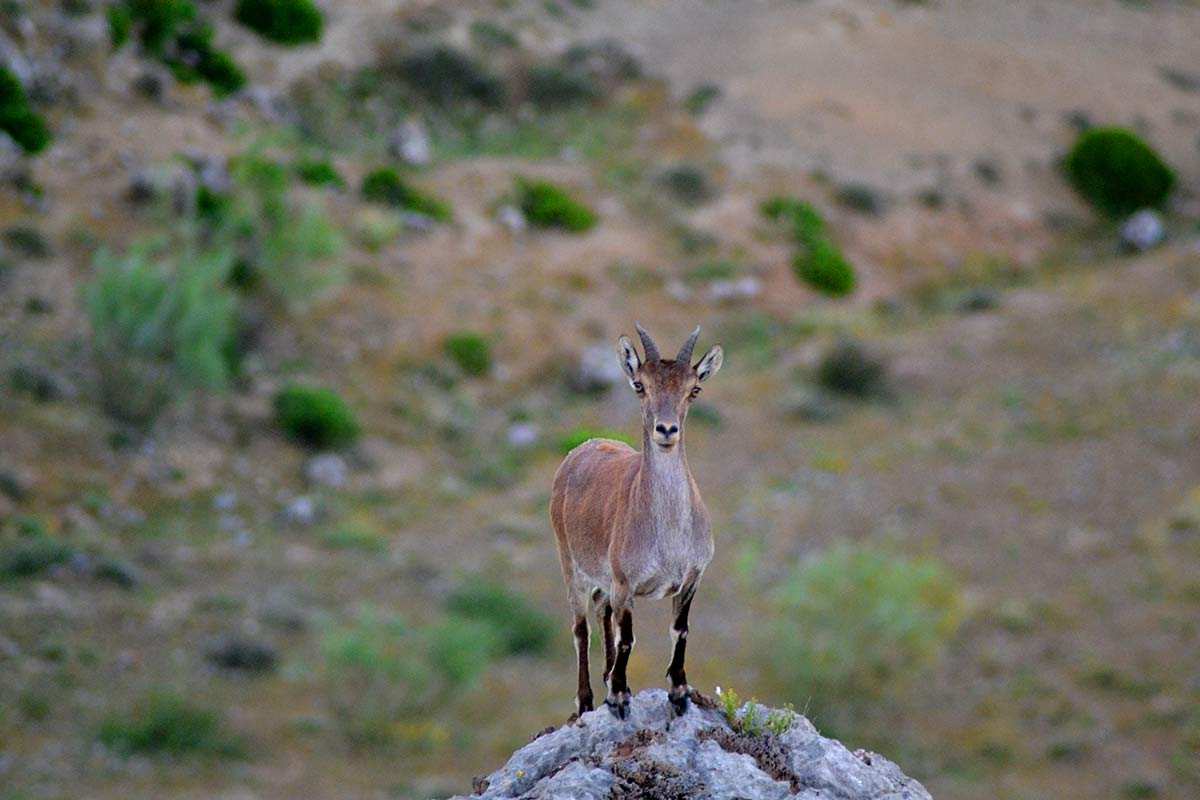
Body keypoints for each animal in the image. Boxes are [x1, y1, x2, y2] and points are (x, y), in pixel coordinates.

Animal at [550, 324, 724, 719]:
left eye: (694, 389)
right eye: (640, 385)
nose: (666, 429)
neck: (667, 537)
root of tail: (580, 449)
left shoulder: (692, 577)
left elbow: (680, 630)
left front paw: (678, 691)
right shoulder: (625, 582)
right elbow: (627, 637)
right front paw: (618, 697)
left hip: (603, 580)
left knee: (603, 613)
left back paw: (606, 676)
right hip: (571, 564)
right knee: (581, 628)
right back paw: (587, 700)